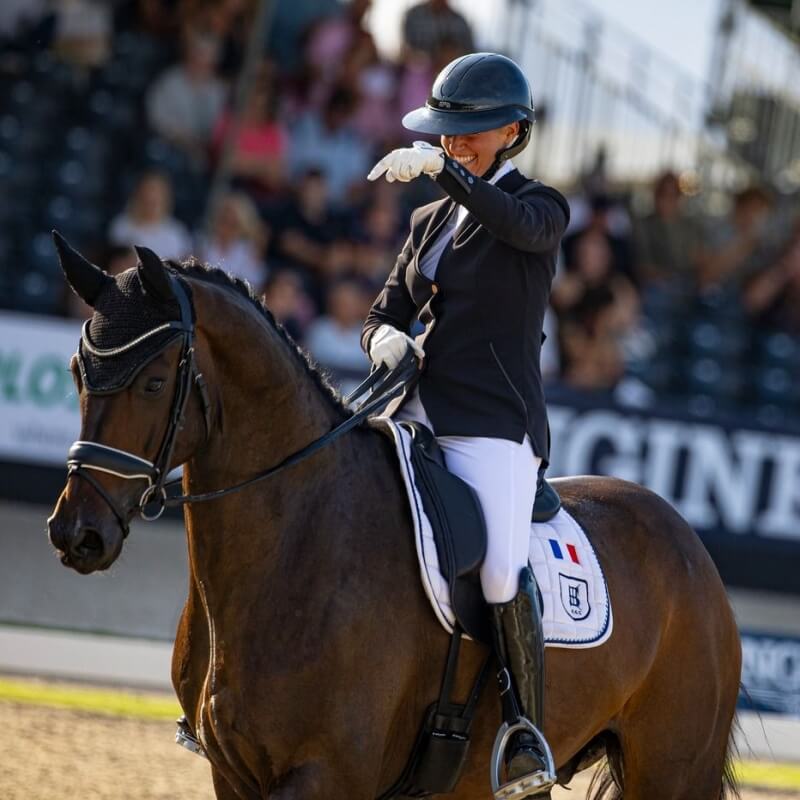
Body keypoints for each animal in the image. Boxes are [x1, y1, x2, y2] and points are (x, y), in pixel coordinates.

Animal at [47, 236, 742, 800]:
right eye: (79, 371)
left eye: (153, 382)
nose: (76, 534)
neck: (295, 540)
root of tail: (688, 543)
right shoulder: (232, 775)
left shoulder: (326, 775)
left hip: (674, 769)